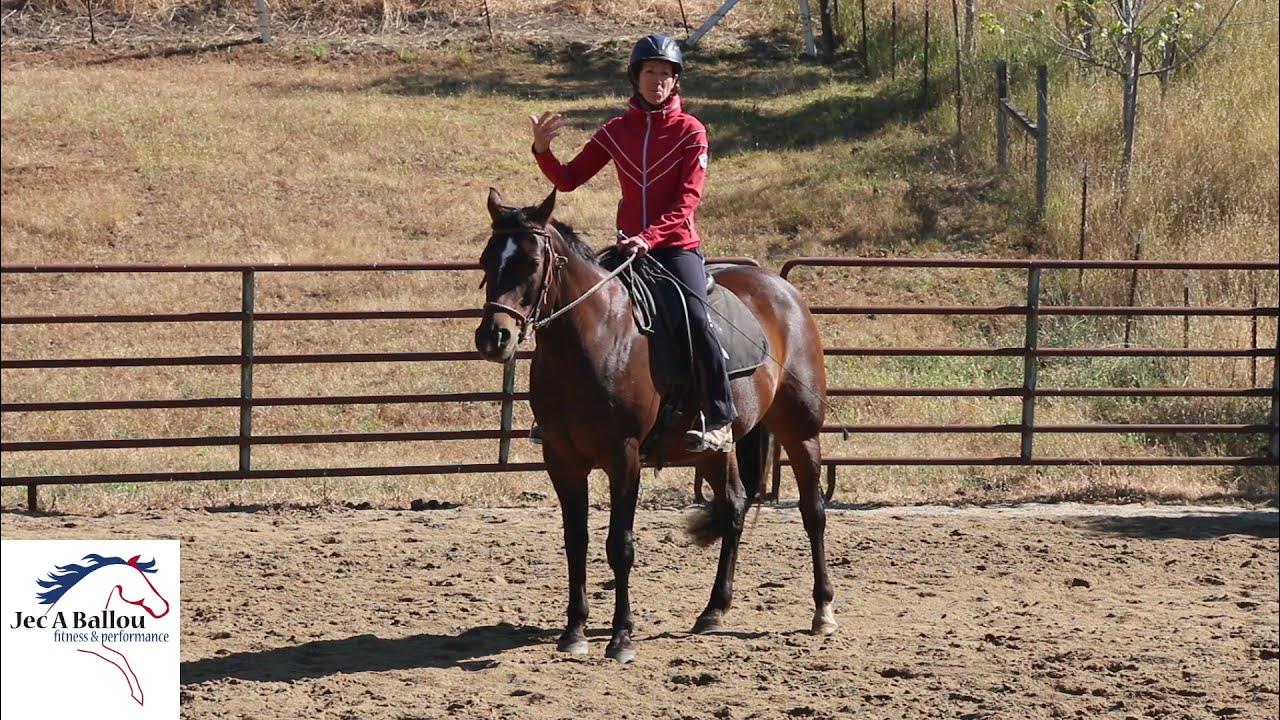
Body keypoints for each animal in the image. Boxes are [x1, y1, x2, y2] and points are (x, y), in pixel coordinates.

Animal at [473, 188, 834, 662]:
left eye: (532, 262)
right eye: (486, 260)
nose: (493, 337)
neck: (597, 336)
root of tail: (782, 289)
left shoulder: (623, 457)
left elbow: (620, 545)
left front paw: (621, 637)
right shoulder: (562, 459)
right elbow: (576, 540)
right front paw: (574, 630)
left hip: (801, 431)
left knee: (813, 512)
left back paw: (823, 611)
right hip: (714, 448)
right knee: (735, 506)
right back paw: (714, 610)